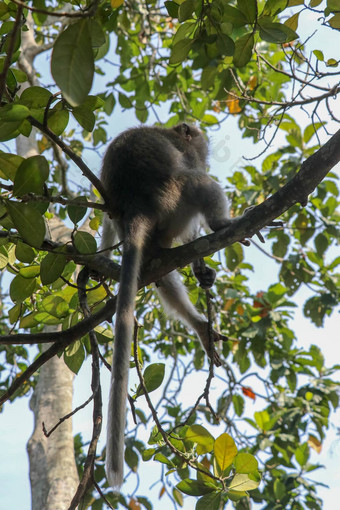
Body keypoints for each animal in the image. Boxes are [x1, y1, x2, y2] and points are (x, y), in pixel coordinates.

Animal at [101, 122, 242, 490]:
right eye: (204, 149)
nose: (207, 159)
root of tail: (135, 207)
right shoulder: (188, 158)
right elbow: (196, 175)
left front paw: (202, 271)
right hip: (172, 201)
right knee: (196, 182)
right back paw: (222, 224)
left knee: (159, 273)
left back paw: (201, 327)